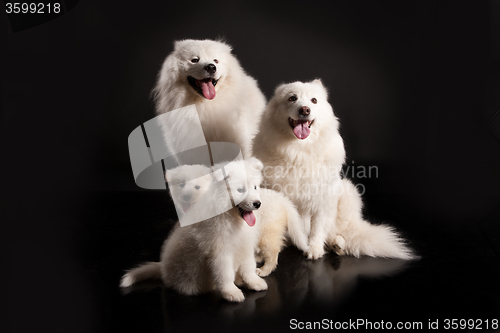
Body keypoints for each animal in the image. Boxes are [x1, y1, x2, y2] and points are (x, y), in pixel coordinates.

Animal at [120, 157, 304, 300]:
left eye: (255, 187)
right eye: (240, 190)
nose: (258, 204)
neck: (232, 218)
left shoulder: (245, 245)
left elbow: (248, 267)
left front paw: (253, 282)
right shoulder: (220, 253)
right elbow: (226, 274)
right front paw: (231, 293)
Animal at [254, 80, 414, 260]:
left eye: (314, 100)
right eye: (292, 98)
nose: (305, 109)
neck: (299, 151)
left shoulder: (323, 198)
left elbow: (318, 228)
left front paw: (314, 249)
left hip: (347, 192)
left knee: (337, 232)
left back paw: (337, 245)